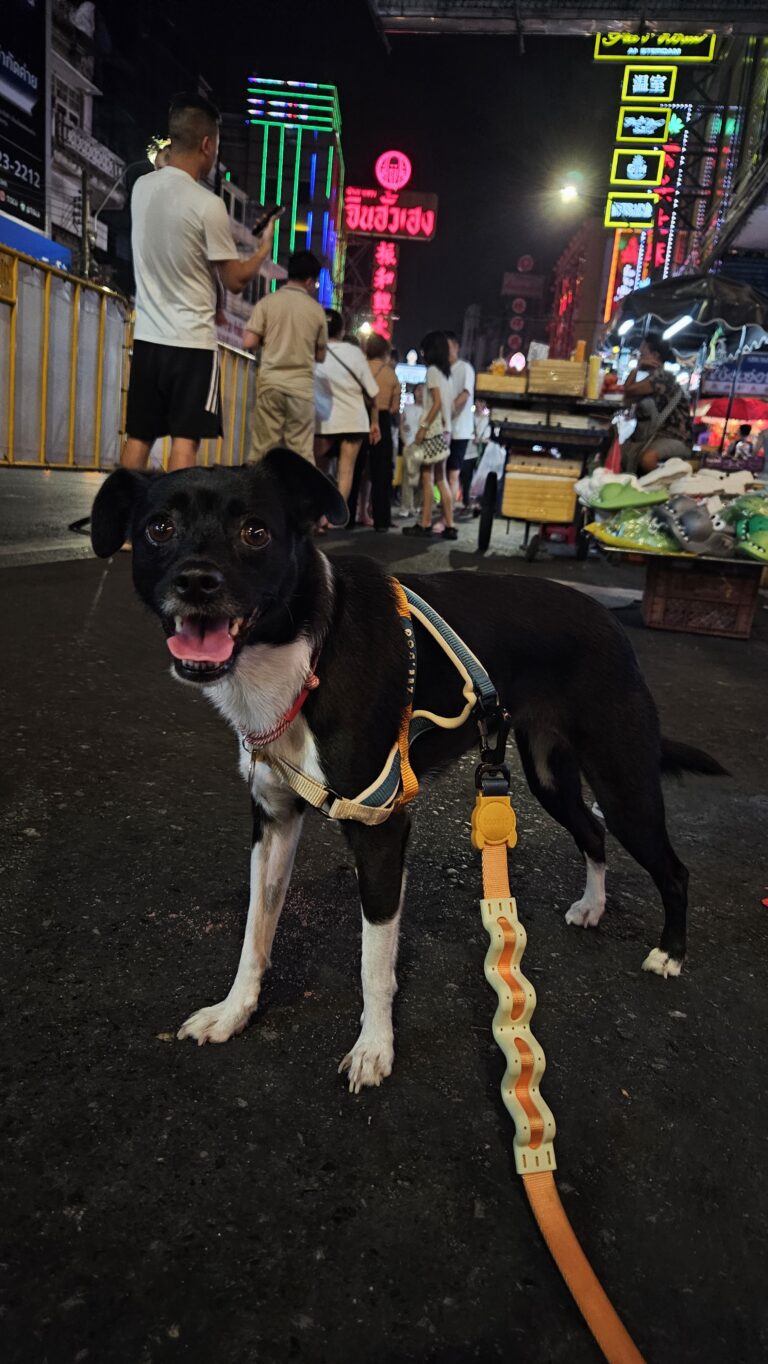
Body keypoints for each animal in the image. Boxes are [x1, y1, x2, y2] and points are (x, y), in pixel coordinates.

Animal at [91, 452, 725, 1091]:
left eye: (255, 532)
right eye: (159, 529)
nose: (196, 582)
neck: (306, 653)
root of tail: (610, 621)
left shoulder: (381, 829)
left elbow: (374, 960)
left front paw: (374, 1048)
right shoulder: (273, 820)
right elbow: (255, 930)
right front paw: (233, 1013)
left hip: (623, 782)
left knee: (672, 868)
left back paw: (670, 953)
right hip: (550, 775)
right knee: (592, 832)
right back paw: (593, 907)